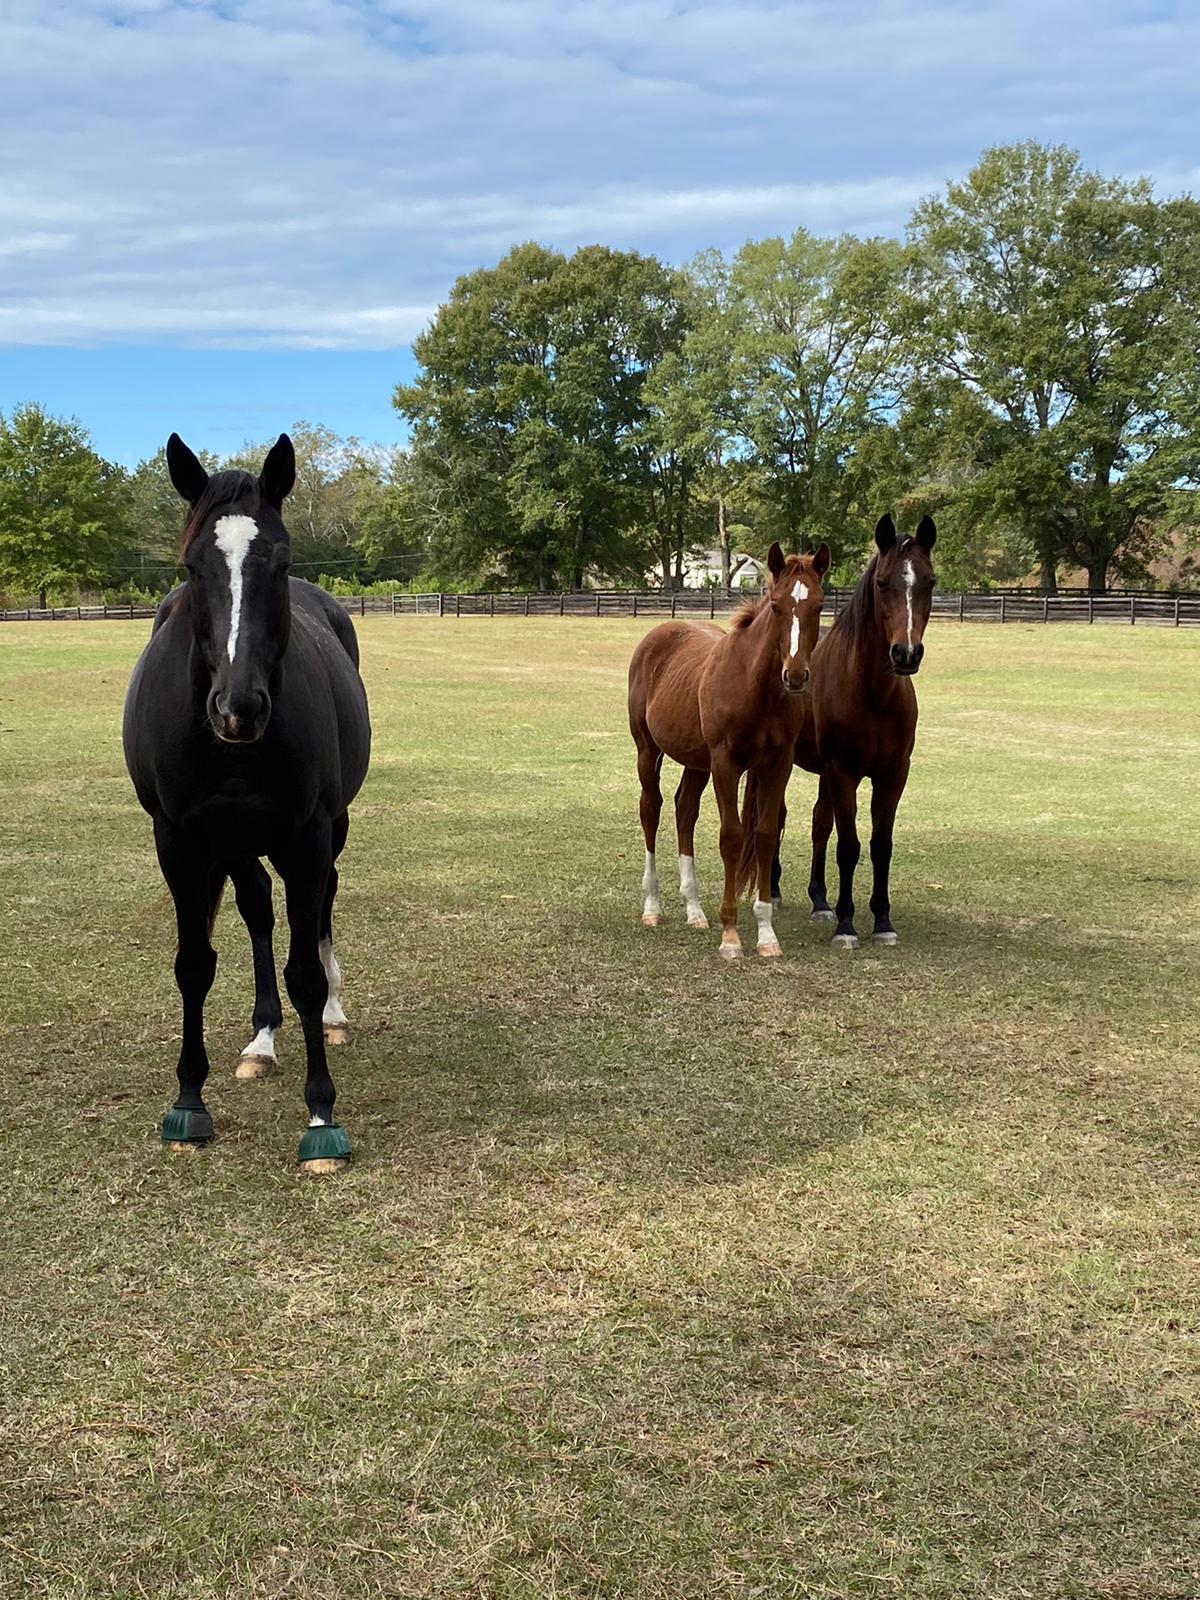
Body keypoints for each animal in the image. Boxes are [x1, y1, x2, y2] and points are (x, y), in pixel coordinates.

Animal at [124, 438, 371, 1177]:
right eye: (191, 565)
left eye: (281, 560)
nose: (238, 708)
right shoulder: (180, 841)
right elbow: (193, 965)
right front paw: (187, 1100)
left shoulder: (308, 837)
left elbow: (304, 972)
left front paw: (321, 1116)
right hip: (233, 841)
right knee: (257, 908)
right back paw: (262, 1040)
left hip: (328, 831)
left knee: (321, 906)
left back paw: (332, 1016)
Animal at [624, 537, 832, 960]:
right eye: (776, 604)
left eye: (819, 605)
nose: (796, 675)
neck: (756, 688)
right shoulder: (726, 763)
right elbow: (732, 837)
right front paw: (731, 936)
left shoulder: (777, 765)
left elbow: (765, 834)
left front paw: (767, 935)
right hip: (648, 751)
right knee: (651, 810)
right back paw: (652, 908)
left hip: (696, 762)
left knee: (684, 810)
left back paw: (694, 910)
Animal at [790, 508, 940, 947]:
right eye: (882, 582)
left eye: (929, 581)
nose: (905, 653)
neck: (872, 693)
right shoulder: (844, 772)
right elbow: (849, 846)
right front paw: (846, 923)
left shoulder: (892, 775)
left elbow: (879, 845)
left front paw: (882, 920)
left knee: (818, 823)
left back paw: (819, 901)